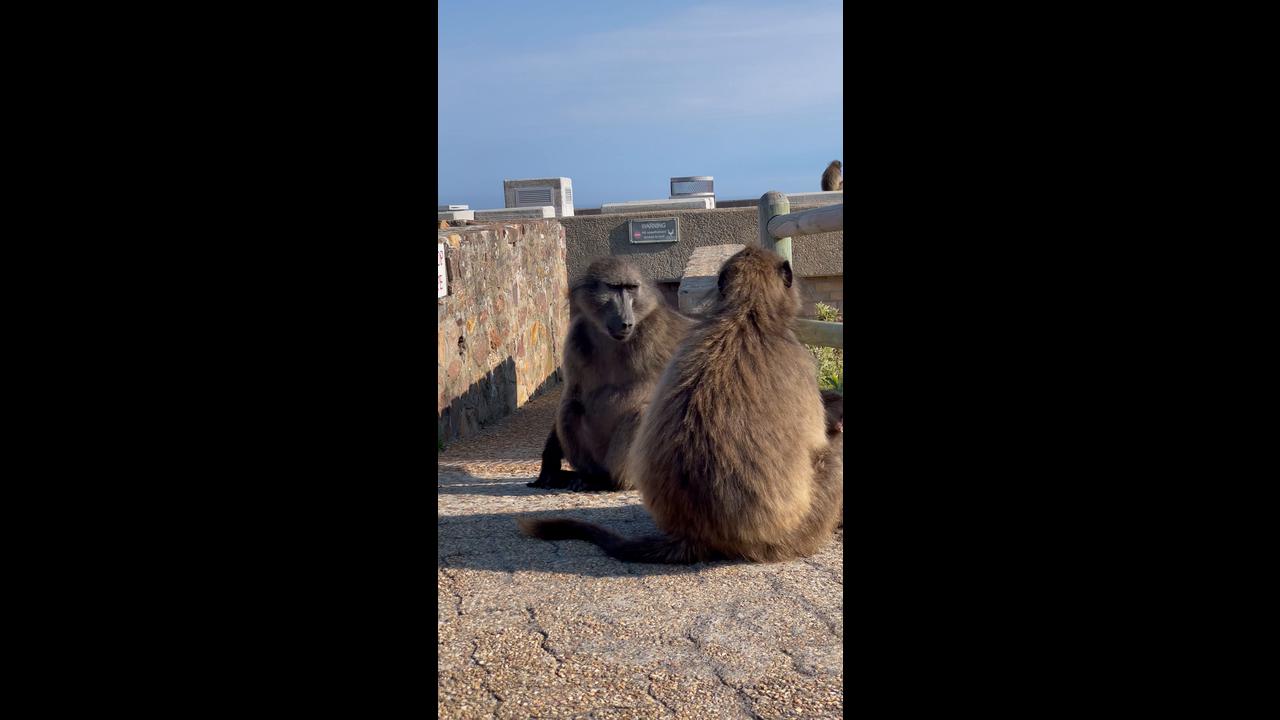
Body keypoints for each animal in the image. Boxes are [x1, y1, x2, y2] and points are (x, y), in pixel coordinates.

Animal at [528, 257, 694, 492]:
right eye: (614, 288)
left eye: (631, 288)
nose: (626, 322)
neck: (612, 341)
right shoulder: (575, 339)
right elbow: (573, 391)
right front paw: (549, 466)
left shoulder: (667, 334)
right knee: (570, 407)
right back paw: (586, 476)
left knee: (641, 413)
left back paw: (610, 482)